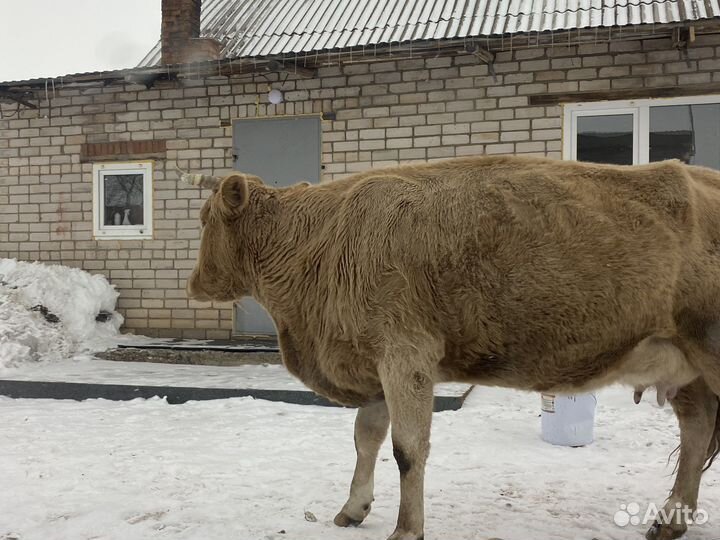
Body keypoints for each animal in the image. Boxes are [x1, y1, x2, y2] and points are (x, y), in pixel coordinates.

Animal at [181, 155, 720, 540]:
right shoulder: (377, 364)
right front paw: (353, 508)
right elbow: (366, 437)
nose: (195, 283)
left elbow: (407, 448)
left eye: (206, 218)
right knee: (696, 431)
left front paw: (406, 530)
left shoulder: (405, 357)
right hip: (687, 367)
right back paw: (670, 520)